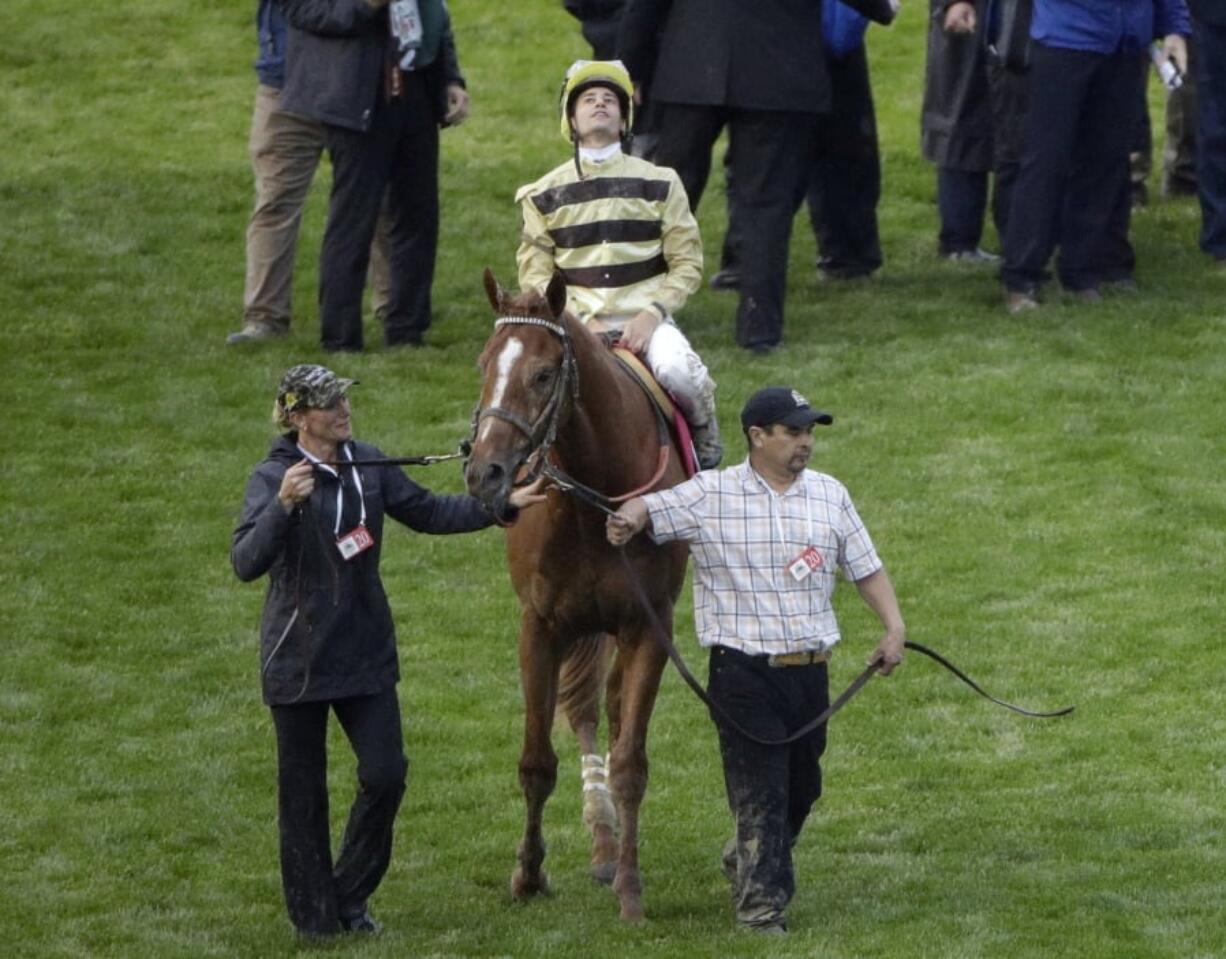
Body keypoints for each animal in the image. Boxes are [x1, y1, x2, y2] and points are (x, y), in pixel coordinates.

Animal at [463, 272, 691, 922]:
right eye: (484, 364)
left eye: (543, 374)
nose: (485, 472)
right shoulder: (540, 624)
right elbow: (537, 761)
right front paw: (527, 875)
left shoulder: (648, 626)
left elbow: (631, 762)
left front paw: (631, 892)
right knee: (586, 709)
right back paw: (600, 840)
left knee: (609, 712)